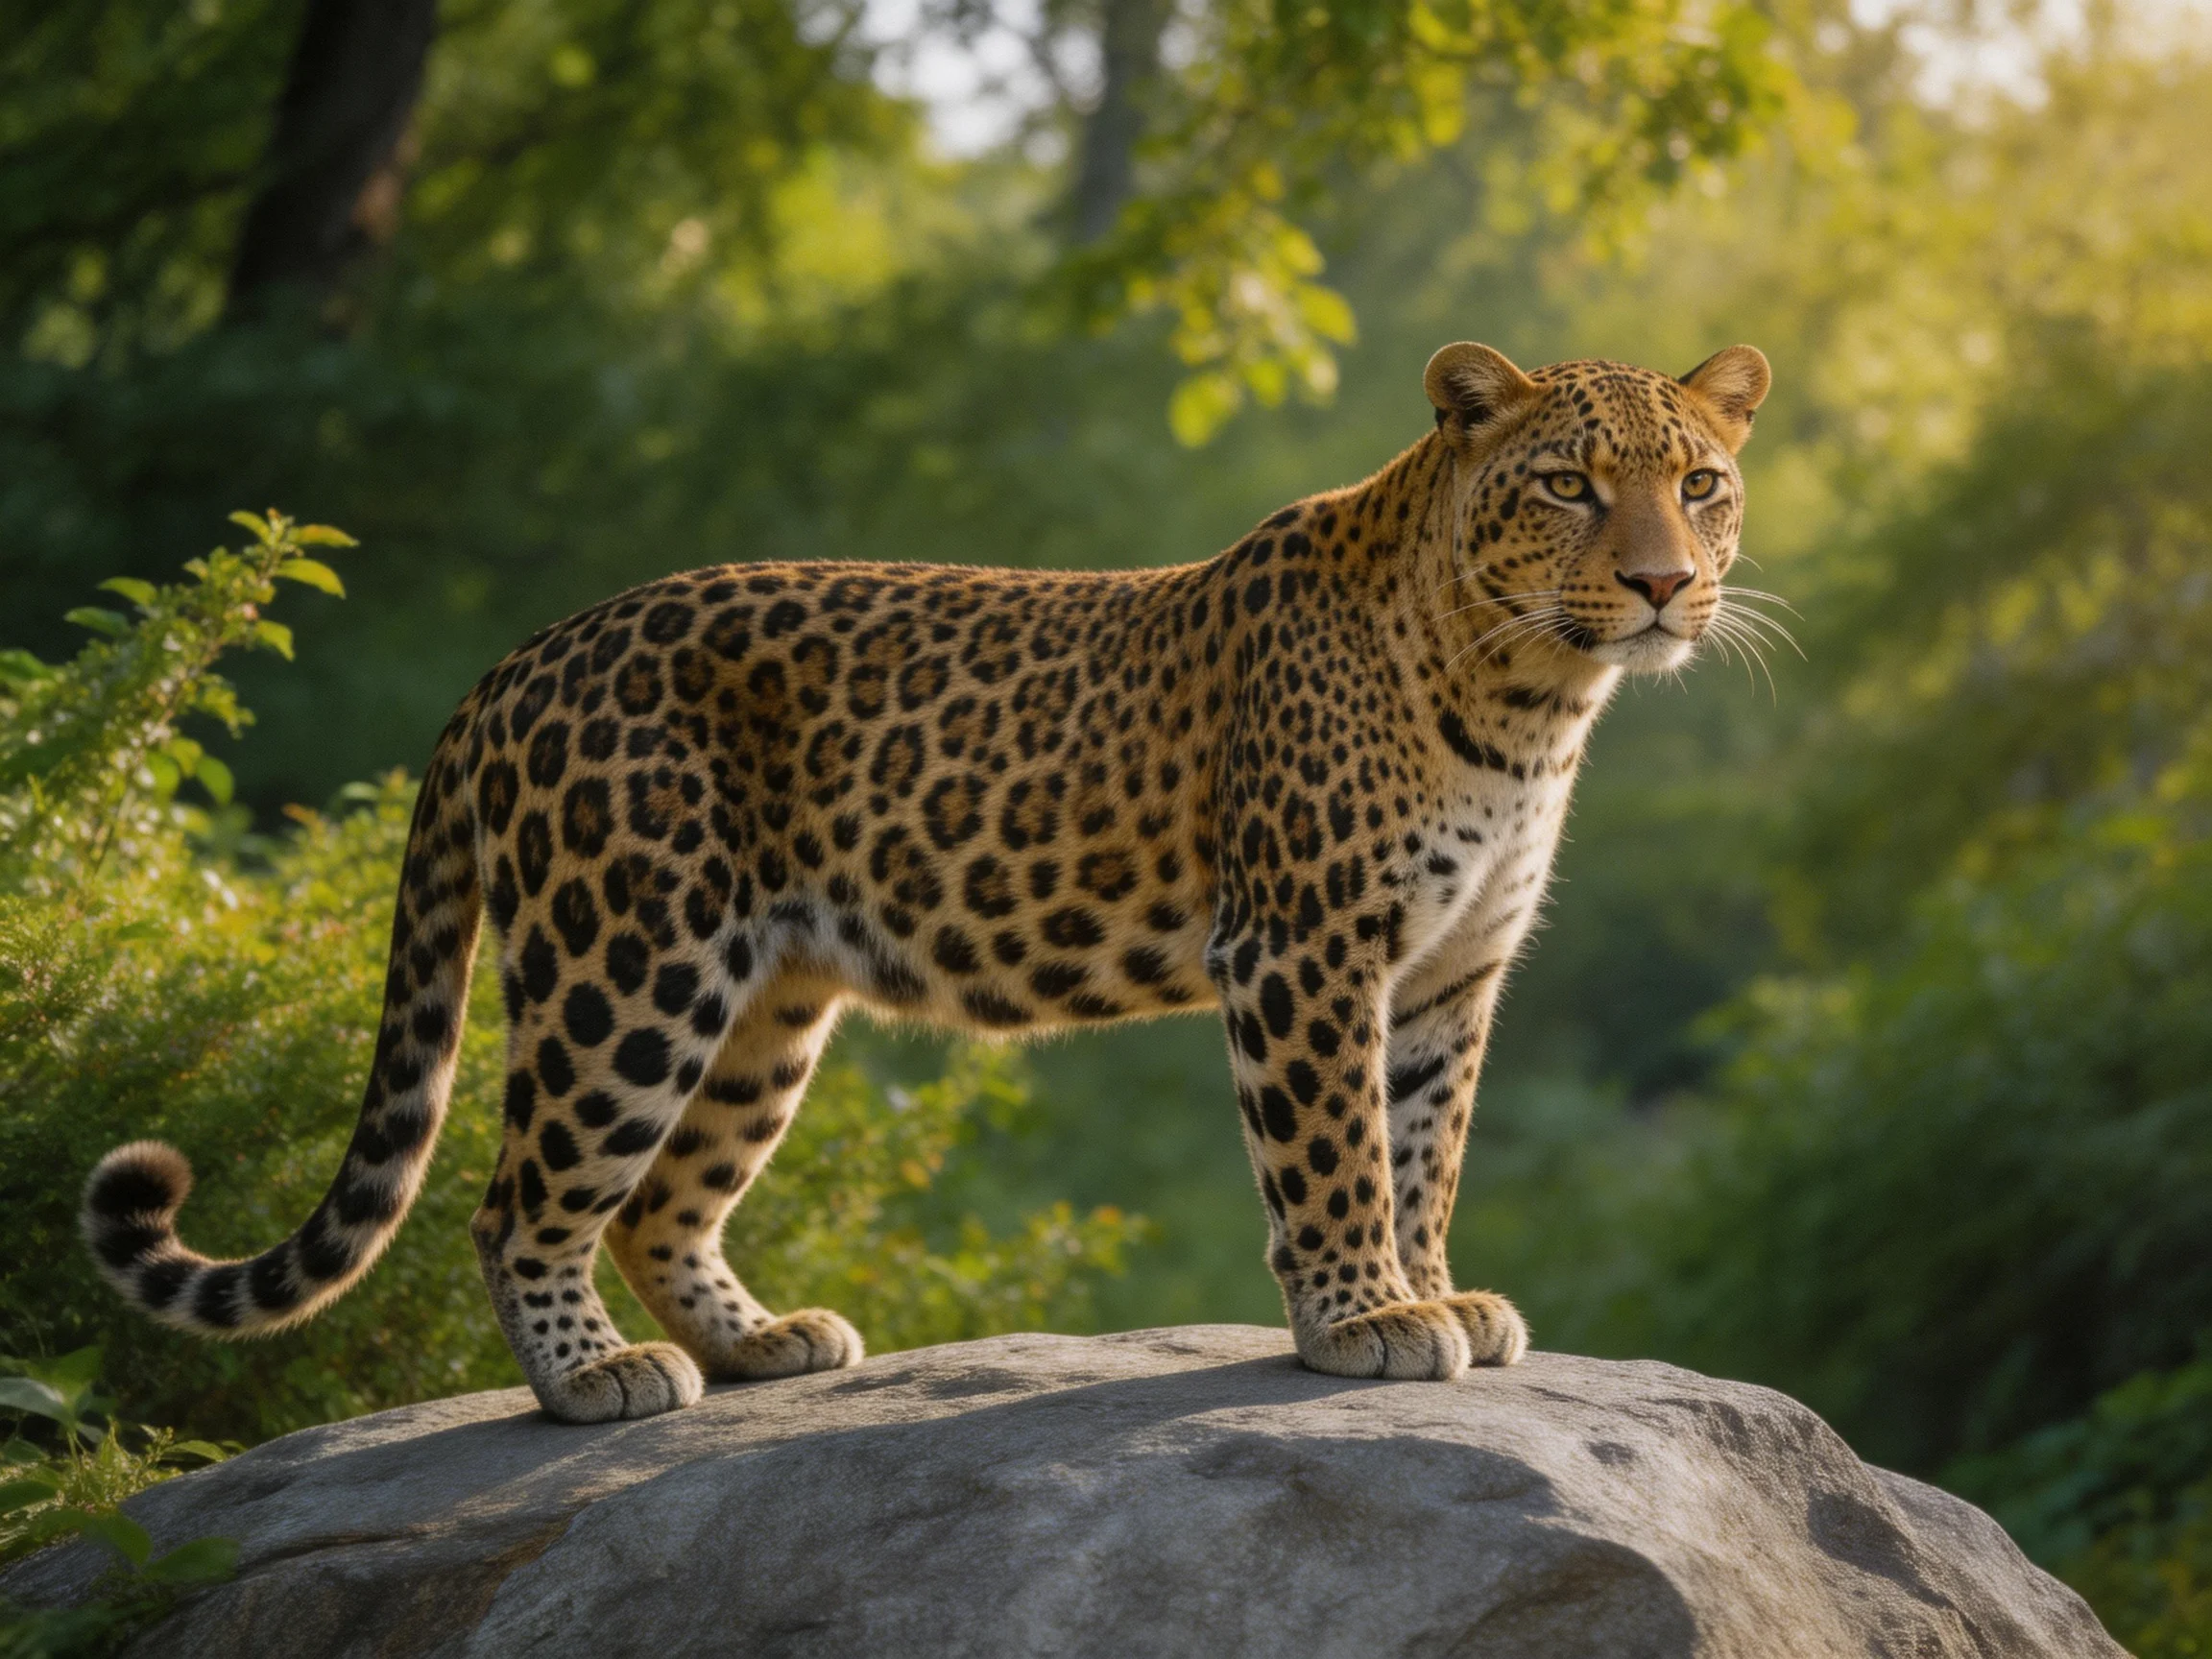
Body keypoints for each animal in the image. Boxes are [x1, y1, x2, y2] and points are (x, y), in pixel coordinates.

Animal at [82, 340, 1771, 1423]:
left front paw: (1438, 1293)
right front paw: (1365, 1318)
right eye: (1568, 487)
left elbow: (1426, 1151)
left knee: (659, 1203)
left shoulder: (1448, 972)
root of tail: (514, 663)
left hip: (764, 1004)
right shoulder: (1307, 951)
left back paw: (763, 1343)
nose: (1662, 585)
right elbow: (1335, 1152)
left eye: (1699, 484)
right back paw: (593, 1380)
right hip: (625, 968)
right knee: (518, 1203)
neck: (1533, 700)